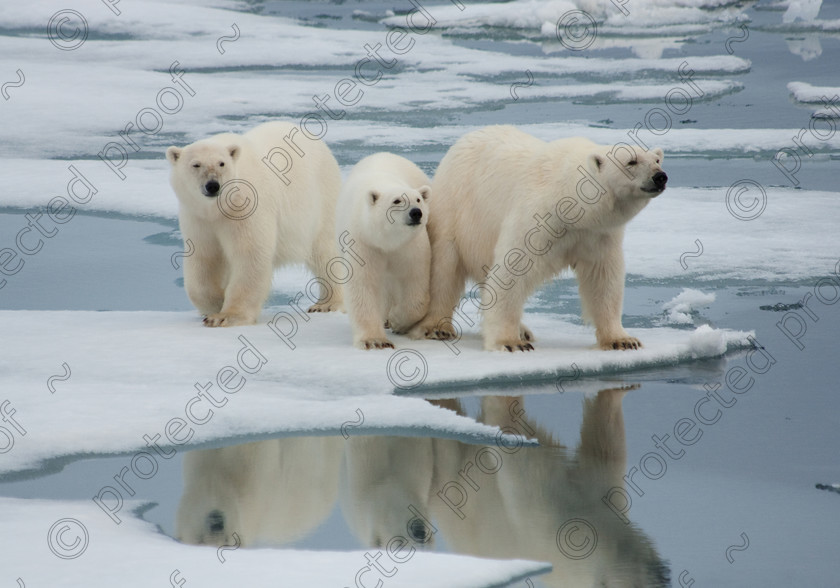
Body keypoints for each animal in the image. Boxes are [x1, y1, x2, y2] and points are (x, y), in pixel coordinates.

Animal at [166, 121, 342, 328]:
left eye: (221, 163)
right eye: (196, 164)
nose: (213, 185)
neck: (218, 208)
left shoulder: (246, 209)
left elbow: (250, 254)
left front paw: (226, 316)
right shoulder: (198, 218)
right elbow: (204, 259)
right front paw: (216, 303)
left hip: (321, 200)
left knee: (324, 251)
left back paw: (326, 304)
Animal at [336, 154, 434, 352]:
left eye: (418, 200)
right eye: (397, 201)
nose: (416, 213)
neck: (386, 241)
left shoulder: (410, 247)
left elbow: (415, 285)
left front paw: (397, 320)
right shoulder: (364, 243)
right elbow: (363, 286)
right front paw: (375, 340)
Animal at [410, 124, 668, 352]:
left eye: (656, 160)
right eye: (631, 161)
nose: (660, 177)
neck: (572, 203)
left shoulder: (597, 233)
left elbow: (603, 277)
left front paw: (622, 340)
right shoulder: (539, 217)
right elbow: (512, 270)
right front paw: (510, 343)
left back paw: (523, 329)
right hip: (457, 209)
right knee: (445, 269)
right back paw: (436, 327)